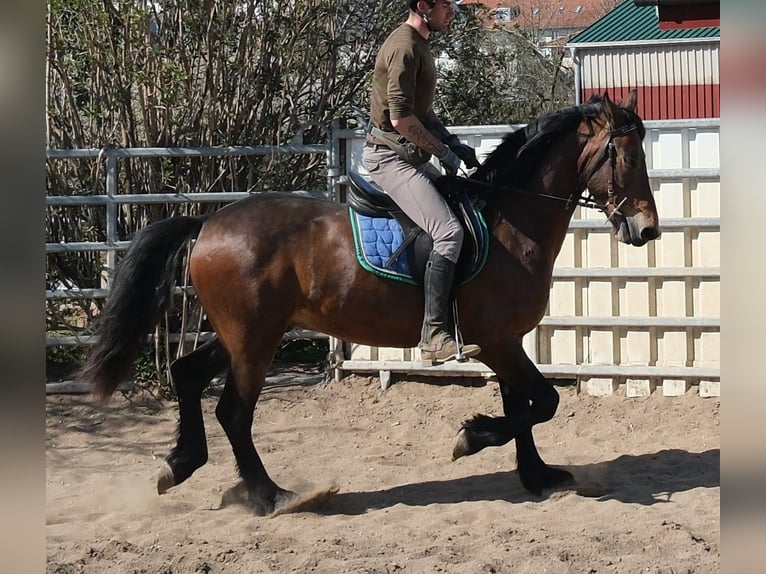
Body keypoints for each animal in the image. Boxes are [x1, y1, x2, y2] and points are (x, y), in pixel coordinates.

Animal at [80, 91, 660, 516]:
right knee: (234, 412)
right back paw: (274, 496)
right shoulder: (497, 342)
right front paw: (471, 438)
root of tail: (207, 222)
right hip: (252, 340)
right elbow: (544, 402)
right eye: (628, 156)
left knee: (185, 374)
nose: (648, 230)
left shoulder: (507, 342)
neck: (509, 222)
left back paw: (179, 465)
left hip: (243, 334)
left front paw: (538, 476)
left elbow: (527, 406)